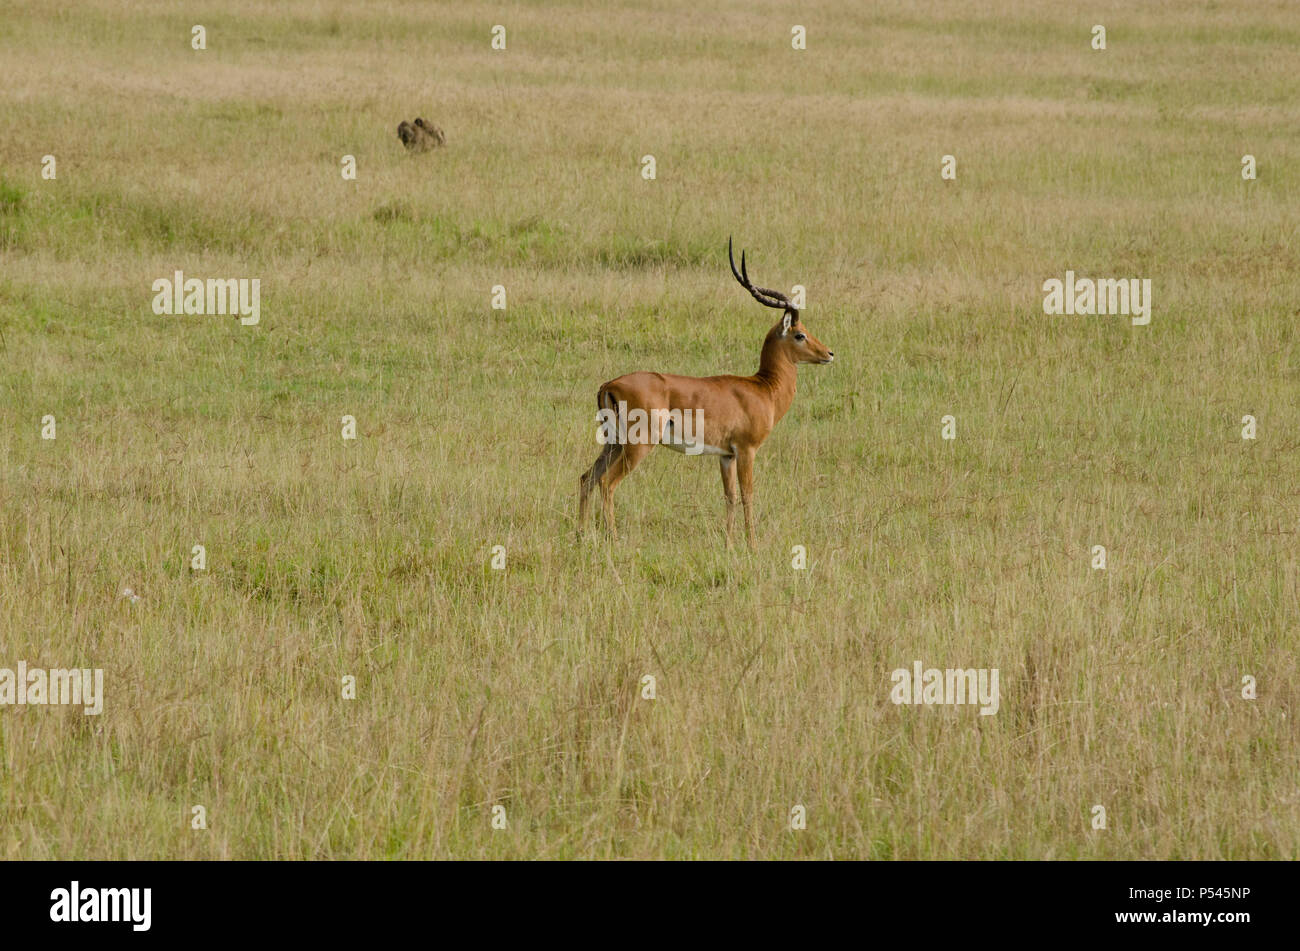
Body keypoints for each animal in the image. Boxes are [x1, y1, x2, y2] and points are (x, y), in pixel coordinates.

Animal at [578, 238, 834, 548]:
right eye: (800, 334)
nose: (829, 354)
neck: (764, 389)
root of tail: (609, 385)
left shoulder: (726, 455)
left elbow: (730, 497)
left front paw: (729, 544)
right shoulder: (746, 450)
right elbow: (748, 495)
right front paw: (752, 545)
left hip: (613, 442)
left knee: (586, 478)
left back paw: (579, 535)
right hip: (637, 445)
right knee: (607, 483)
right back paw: (613, 539)